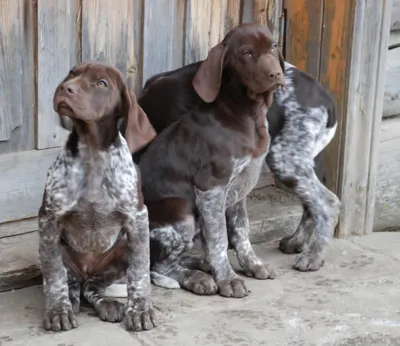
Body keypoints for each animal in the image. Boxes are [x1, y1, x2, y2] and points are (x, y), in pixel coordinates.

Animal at [38, 61, 158, 332]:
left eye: (101, 83)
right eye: (72, 73)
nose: (65, 88)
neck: (93, 152)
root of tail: (86, 272)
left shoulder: (138, 219)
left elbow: (139, 271)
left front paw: (140, 310)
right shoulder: (49, 220)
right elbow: (55, 275)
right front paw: (58, 310)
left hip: (120, 251)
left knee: (92, 288)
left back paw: (108, 304)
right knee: (73, 284)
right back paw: (70, 302)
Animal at [134, 23, 340, 274]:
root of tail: (327, 103)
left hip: (285, 160)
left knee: (327, 203)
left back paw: (313, 256)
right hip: (297, 161)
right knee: (312, 203)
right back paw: (296, 242)